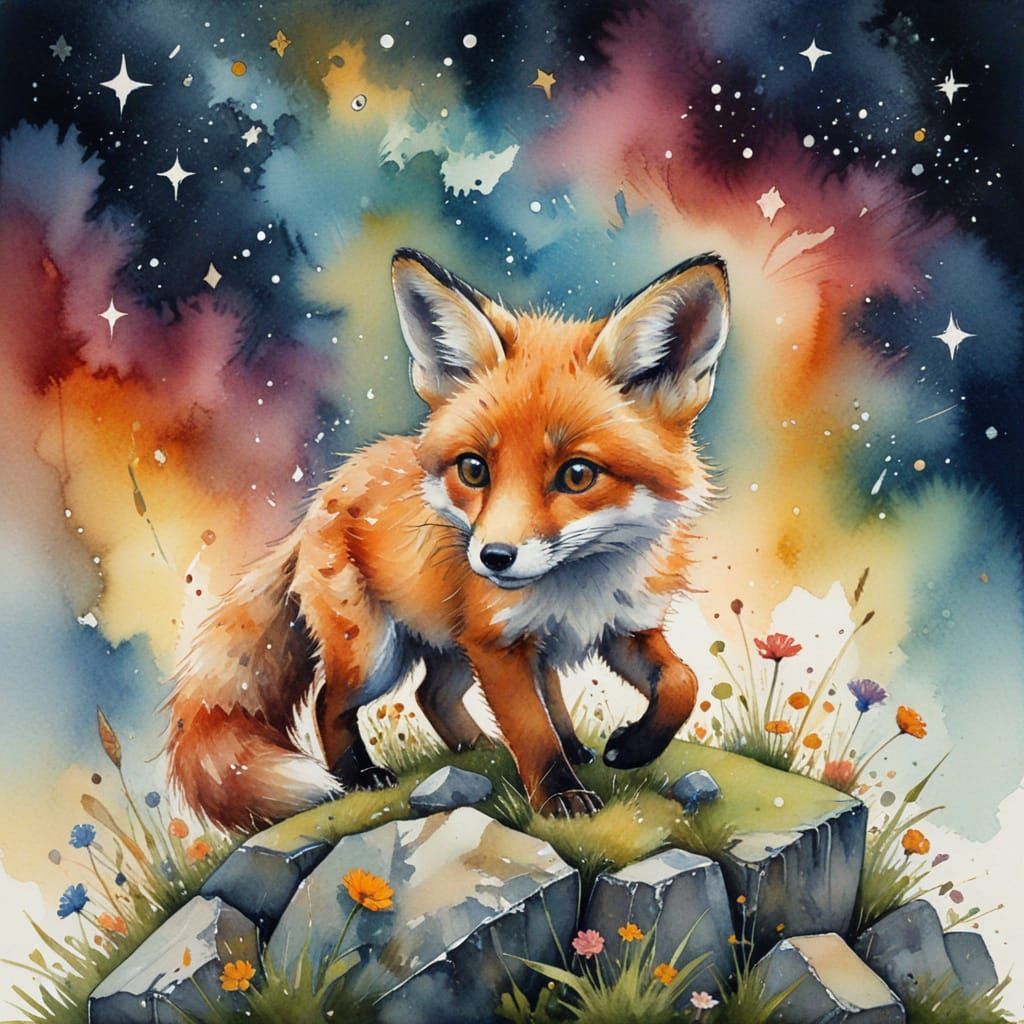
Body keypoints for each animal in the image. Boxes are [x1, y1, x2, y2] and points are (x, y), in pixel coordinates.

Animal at [165, 248, 730, 832]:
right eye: (474, 469)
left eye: (577, 475)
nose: (494, 558)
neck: (579, 587)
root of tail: (327, 491)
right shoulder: (497, 645)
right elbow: (530, 728)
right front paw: (560, 798)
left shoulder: (624, 627)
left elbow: (682, 683)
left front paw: (631, 747)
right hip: (374, 654)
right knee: (328, 701)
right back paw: (360, 775)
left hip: (453, 649)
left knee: (432, 693)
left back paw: (491, 748)